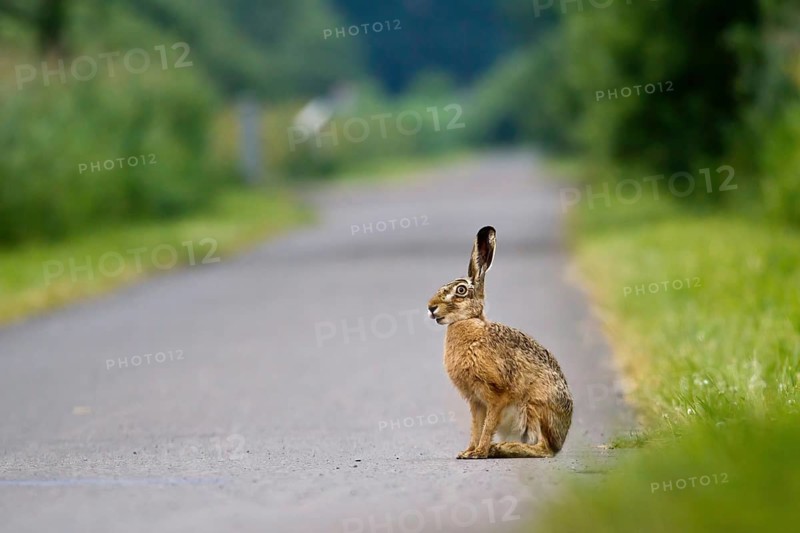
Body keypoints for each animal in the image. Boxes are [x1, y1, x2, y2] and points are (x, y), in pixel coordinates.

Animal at [427, 226, 573, 459]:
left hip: (536, 405)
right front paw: (468, 452)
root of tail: (562, 437)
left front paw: (479, 452)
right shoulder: (476, 401)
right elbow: (477, 427)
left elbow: (488, 425)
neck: (470, 322)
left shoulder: (496, 394)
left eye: (460, 290)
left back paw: (503, 448)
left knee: (544, 449)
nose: (431, 307)